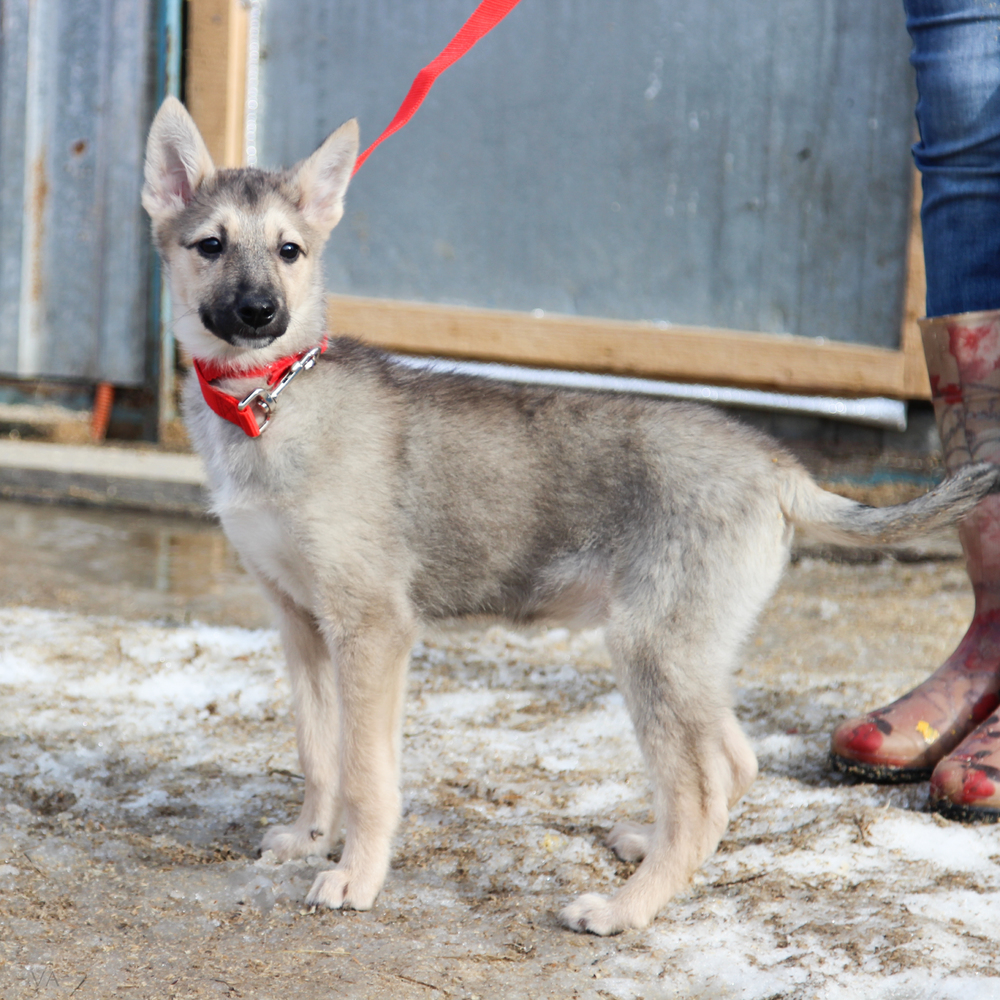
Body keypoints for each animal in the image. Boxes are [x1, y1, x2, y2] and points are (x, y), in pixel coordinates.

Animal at [143, 97, 1000, 932]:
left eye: (290, 251)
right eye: (211, 245)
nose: (261, 312)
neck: (270, 398)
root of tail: (778, 468)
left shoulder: (372, 629)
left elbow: (365, 774)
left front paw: (357, 875)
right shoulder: (302, 624)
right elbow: (319, 752)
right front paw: (309, 838)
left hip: (650, 647)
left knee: (698, 790)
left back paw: (626, 910)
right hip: (689, 651)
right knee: (733, 762)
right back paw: (650, 853)